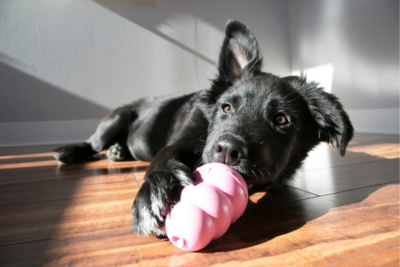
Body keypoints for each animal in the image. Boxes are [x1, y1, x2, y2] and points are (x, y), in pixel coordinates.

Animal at [53, 20, 354, 237]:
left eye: (281, 120)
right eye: (226, 108)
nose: (227, 150)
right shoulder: (181, 142)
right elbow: (164, 157)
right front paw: (153, 192)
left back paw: (118, 152)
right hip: (114, 121)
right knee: (93, 143)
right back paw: (71, 151)